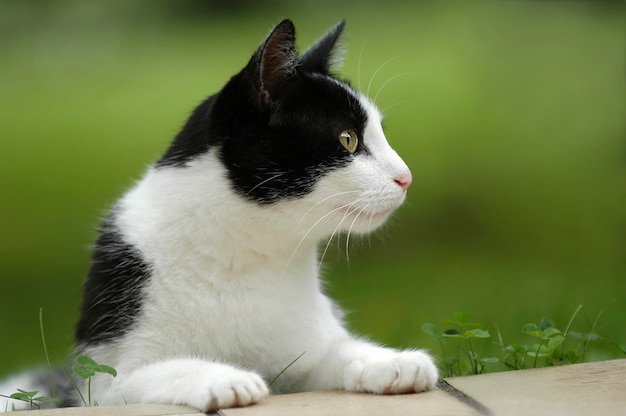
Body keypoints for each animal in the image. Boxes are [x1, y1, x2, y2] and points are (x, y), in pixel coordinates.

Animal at [0, 20, 436, 412]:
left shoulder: (304, 353)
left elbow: (335, 354)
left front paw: (392, 361)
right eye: (348, 139)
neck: (244, 253)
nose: (407, 177)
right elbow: (151, 374)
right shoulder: (102, 383)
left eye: (380, 133)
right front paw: (224, 378)